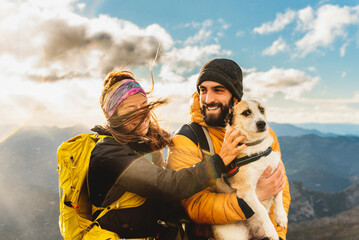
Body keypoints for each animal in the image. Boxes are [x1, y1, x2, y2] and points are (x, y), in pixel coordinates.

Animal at [212, 100, 288, 240]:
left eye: (262, 110)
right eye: (246, 112)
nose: (262, 123)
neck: (257, 148)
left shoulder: (279, 174)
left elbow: (279, 196)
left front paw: (281, 217)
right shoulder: (246, 191)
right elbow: (261, 210)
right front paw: (271, 230)